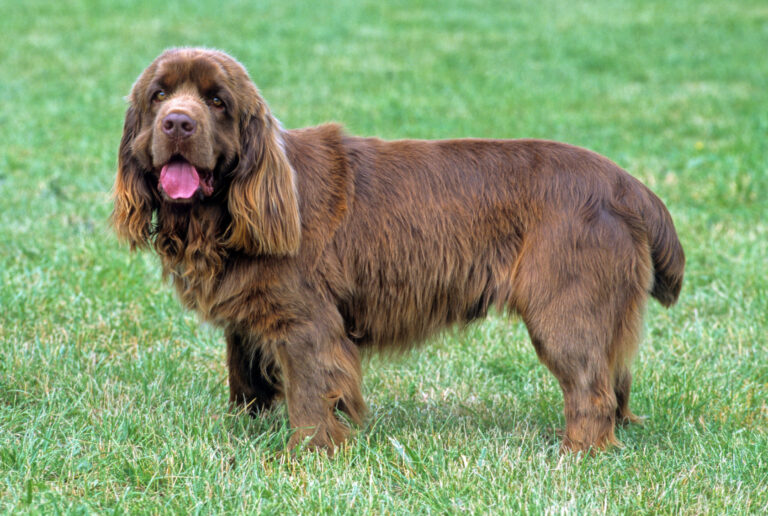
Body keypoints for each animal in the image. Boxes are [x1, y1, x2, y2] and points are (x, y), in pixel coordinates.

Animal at [112, 47, 684, 452]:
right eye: (158, 96)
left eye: (217, 101)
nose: (177, 123)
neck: (222, 215)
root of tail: (628, 185)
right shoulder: (248, 320)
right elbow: (246, 380)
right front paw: (240, 432)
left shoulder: (307, 321)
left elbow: (310, 392)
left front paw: (307, 453)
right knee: (615, 378)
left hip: (564, 306)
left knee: (590, 388)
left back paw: (576, 453)